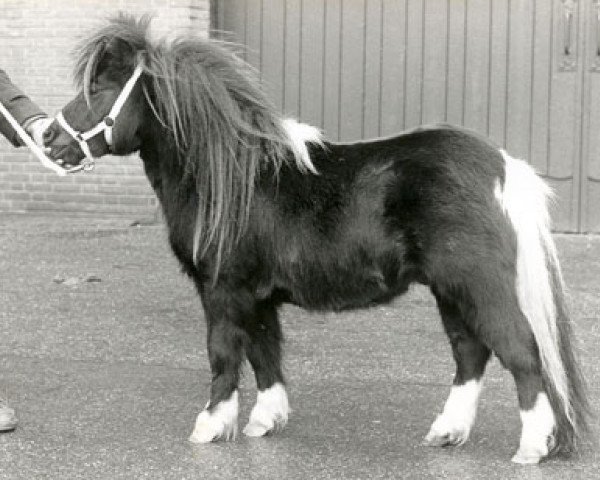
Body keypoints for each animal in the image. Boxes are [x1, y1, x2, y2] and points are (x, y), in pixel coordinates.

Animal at [43, 15, 592, 464]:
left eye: (102, 87)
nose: (50, 139)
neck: (233, 178)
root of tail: (502, 168)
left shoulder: (222, 290)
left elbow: (223, 352)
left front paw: (211, 426)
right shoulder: (258, 296)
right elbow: (264, 353)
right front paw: (265, 421)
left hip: (477, 285)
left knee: (520, 352)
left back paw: (531, 448)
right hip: (450, 291)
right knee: (470, 354)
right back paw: (447, 433)